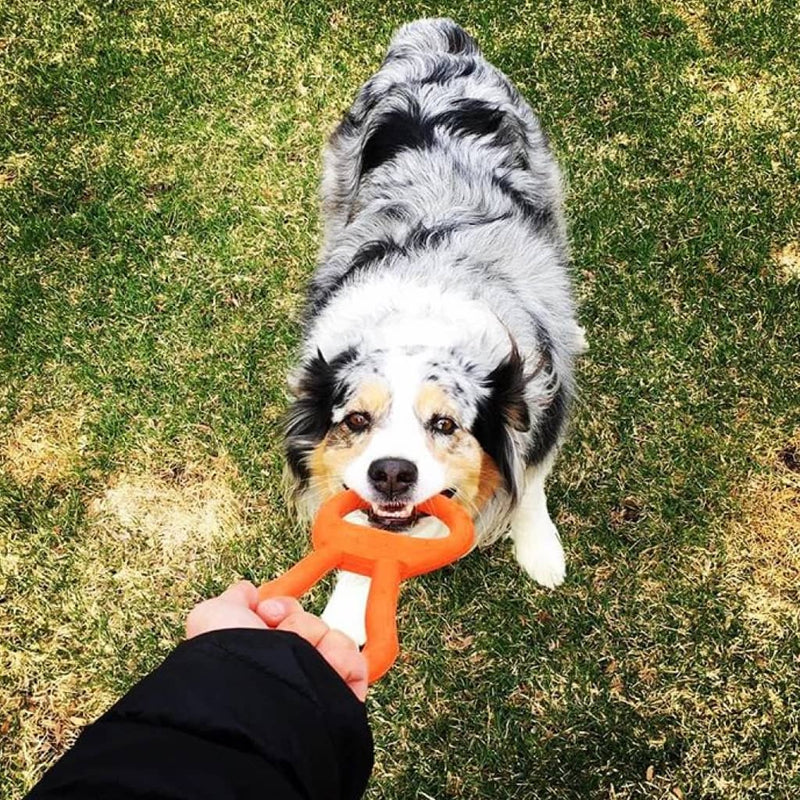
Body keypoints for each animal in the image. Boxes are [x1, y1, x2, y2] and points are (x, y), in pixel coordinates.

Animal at [284, 17, 584, 644]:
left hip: (546, 197)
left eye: (445, 423)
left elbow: (530, 485)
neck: (418, 321)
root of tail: (435, 41)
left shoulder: (543, 410)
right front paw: (342, 620)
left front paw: (539, 547)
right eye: (356, 420)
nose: (392, 473)